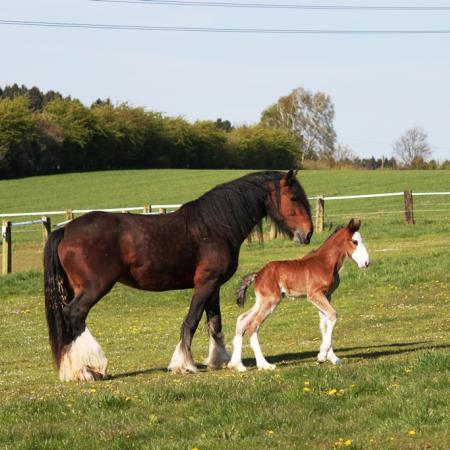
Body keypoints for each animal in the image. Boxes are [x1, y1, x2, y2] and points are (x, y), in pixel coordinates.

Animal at [44, 171, 312, 382]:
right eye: (294, 198)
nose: (308, 233)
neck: (215, 227)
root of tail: (65, 230)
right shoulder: (204, 284)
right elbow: (191, 321)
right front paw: (184, 364)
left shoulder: (213, 286)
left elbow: (214, 322)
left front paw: (219, 360)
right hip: (94, 288)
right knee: (74, 315)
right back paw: (88, 369)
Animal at [229, 219, 370, 372]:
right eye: (355, 241)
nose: (366, 263)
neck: (325, 262)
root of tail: (258, 274)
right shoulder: (315, 295)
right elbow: (333, 315)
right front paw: (322, 356)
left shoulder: (327, 296)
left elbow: (324, 324)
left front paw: (332, 358)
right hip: (271, 301)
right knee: (253, 325)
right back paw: (265, 365)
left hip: (261, 301)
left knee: (242, 320)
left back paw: (238, 365)